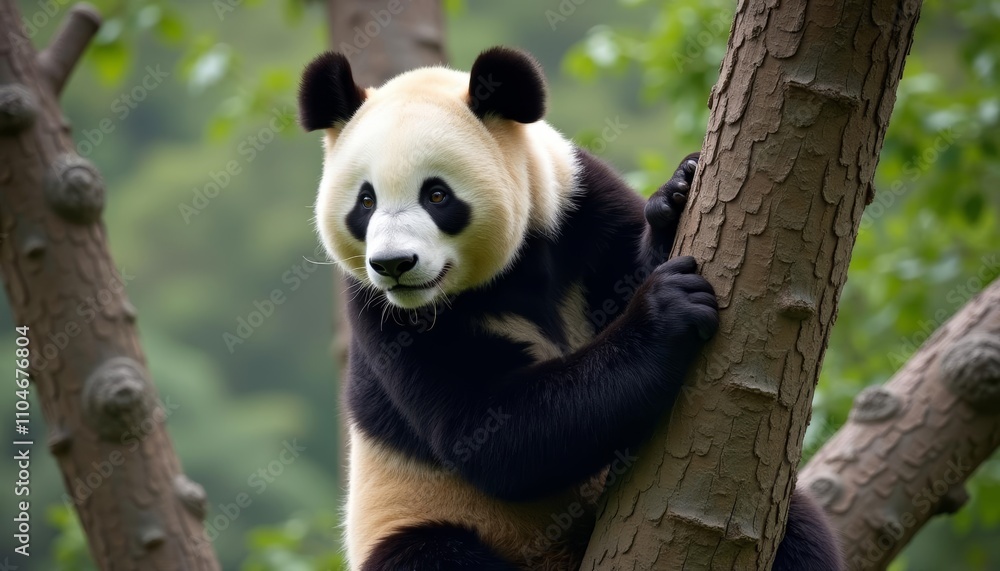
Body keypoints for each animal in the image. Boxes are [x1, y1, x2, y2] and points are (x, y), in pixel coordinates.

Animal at [298, 46, 842, 571]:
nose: (394, 264)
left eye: (436, 194)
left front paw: (676, 195)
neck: (507, 276)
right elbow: (487, 430)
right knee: (427, 556)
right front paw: (666, 312)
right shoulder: (379, 313)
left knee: (801, 530)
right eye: (365, 202)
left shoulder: (580, 212)